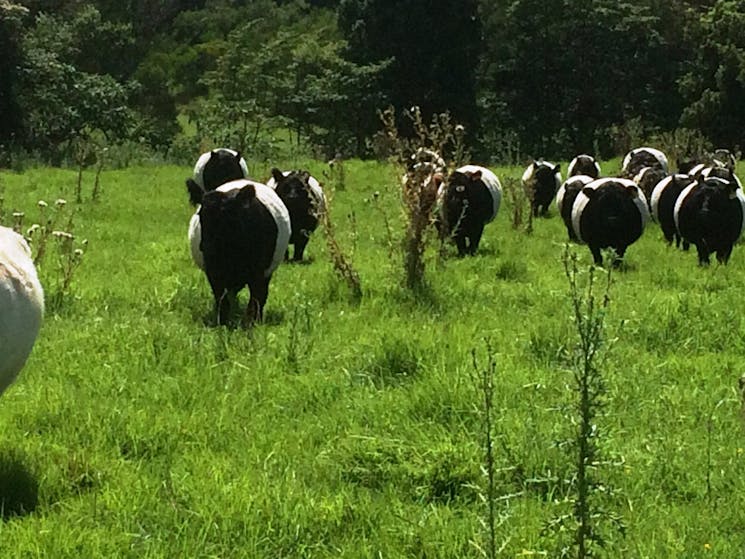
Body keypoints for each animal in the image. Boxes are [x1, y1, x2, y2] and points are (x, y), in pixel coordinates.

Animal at [187, 180, 290, 324]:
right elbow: (221, 299)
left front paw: (252, 321)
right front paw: (222, 321)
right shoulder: (213, 272)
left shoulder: (258, 272)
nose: (207, 246)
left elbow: (256, 298)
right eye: (201, 215)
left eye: (228, 216)